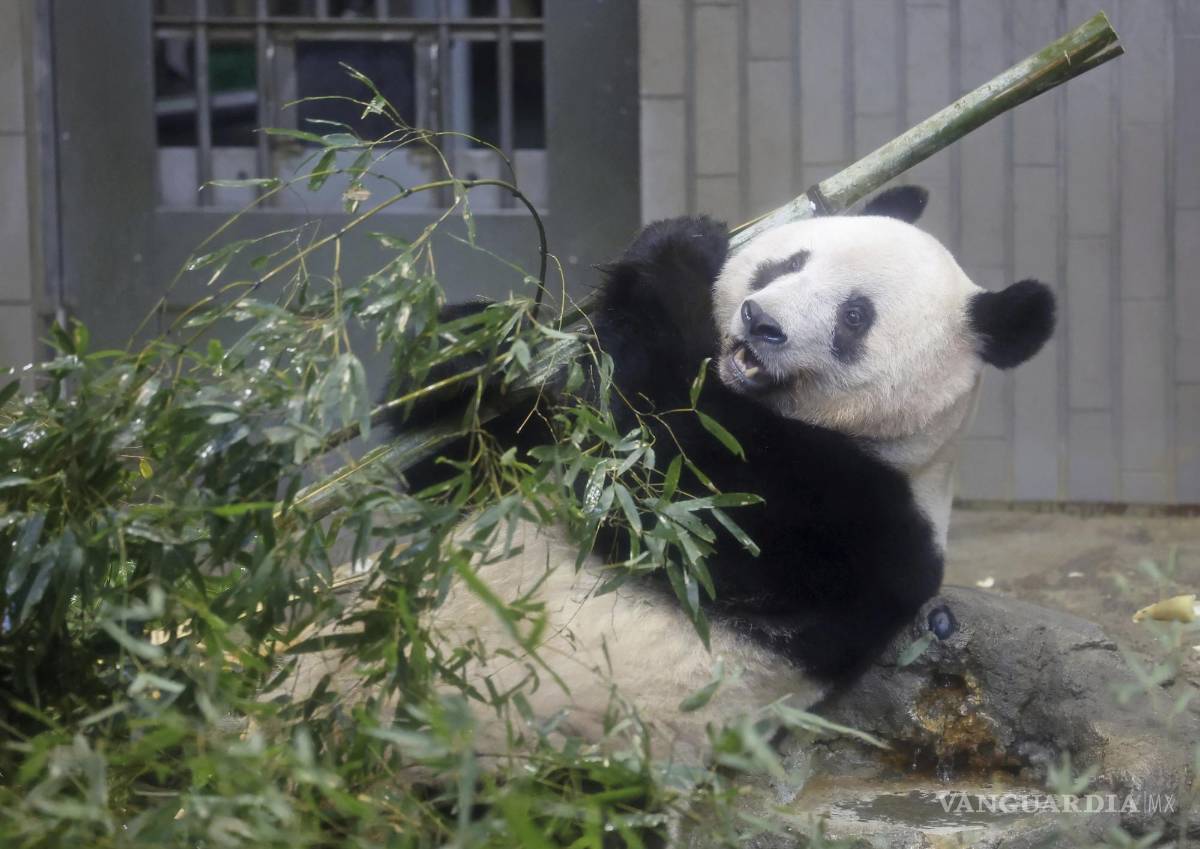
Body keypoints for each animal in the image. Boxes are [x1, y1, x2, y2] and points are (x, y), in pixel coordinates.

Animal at [390, 187, 1056, 758]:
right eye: (789, 263)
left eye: (855, 317)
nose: (761, 320)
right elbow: (468, 463)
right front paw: (471, 351)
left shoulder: (850, 523)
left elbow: (663, 488)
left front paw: (680, 252)